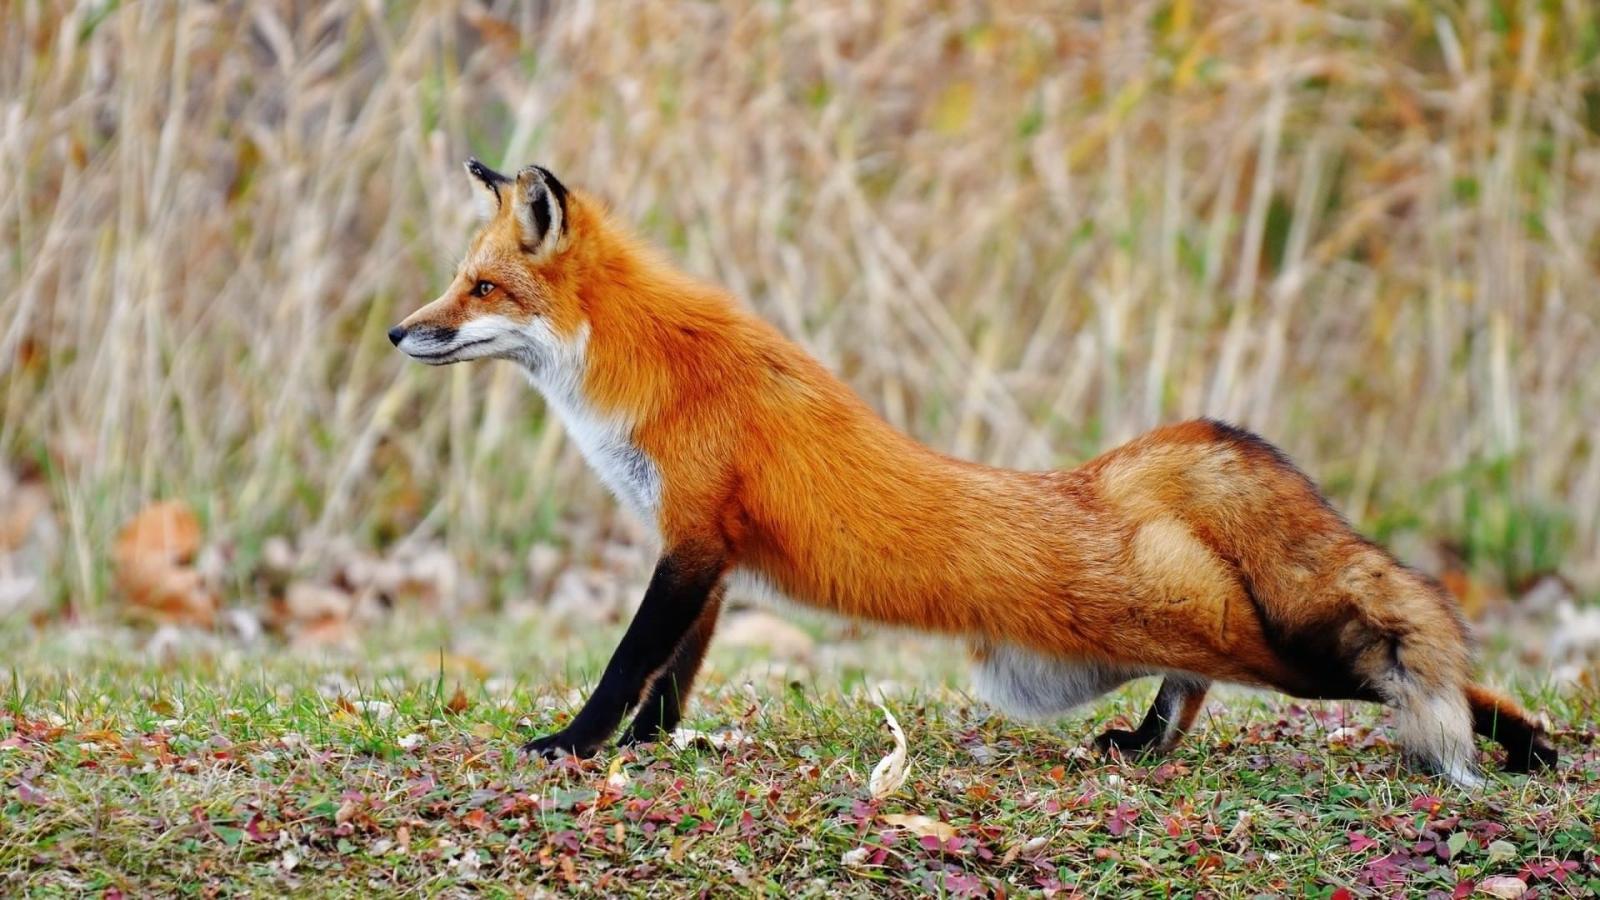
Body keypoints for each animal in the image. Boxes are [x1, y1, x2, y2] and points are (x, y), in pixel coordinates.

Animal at [388, 159, 1556, 787]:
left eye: (481, 287)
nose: (400, 331)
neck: (648, 372)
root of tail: (1114, 479)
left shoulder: (690, 542)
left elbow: (628, 663)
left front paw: (574, 745)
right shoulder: (709, 558)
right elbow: (670, 681)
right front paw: (657, 747)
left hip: (1262, 647)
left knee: (1381, 664)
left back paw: (1528, 741)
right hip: (1181, 635)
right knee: (1202, 684)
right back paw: (1146, 745)